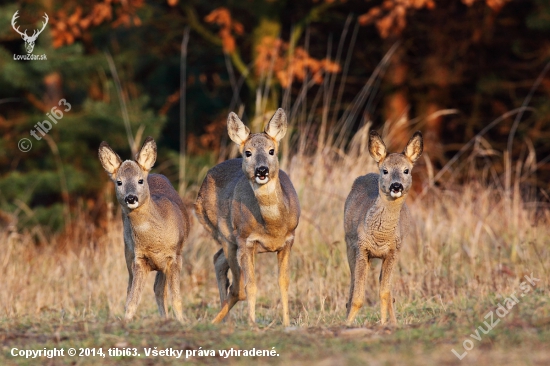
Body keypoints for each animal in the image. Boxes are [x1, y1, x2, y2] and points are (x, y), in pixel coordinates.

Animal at [99, 138, 192, 324]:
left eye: (140, 180)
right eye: (119, 182)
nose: (131, 198)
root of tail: (154, 173)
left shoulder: (175, 257)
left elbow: (176, 298)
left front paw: (182, 322)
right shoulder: (139, 259)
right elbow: (132, 299)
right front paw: (126, 321)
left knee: (159, 290)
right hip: (127, 252)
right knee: (135, 288)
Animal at [196, 108, 302, 326]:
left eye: (272, 151)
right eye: (248, 152)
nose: (262, 170)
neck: (273, 227)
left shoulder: (289, 241)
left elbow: (284, 282)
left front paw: (287, 324)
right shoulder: (246, 241)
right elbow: (251, 285)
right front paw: (252, 324)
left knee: (219, 261)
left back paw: (223, 320)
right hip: (222, 232)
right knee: (235, 284)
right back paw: (220, 320)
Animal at [348, 130, 424, 324]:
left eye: (406, 170)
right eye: (385, 170)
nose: (396, 186)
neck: (380, 237)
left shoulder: (393, 251)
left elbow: (384, 292)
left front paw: (384, 324)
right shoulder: (361, 248)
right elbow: (358, 296)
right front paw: (346, 323)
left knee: (387, 289)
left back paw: (394, 321)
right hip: (348, 244)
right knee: (352, 283)